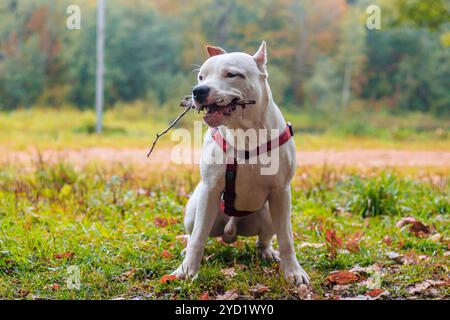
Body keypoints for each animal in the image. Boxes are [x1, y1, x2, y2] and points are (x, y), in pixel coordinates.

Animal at [171, 41, 310, 284]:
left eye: (232, 74)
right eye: (201, 76)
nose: (198, 91)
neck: (244, 132)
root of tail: (230, 231)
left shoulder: (281, 192)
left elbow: (287, 238)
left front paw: (293, 272)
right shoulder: (210, 189)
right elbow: (198, 236)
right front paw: (187, 270)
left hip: (269, 212)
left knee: (265, 238)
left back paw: (267, 252)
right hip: (194, 208)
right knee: (193, 231)